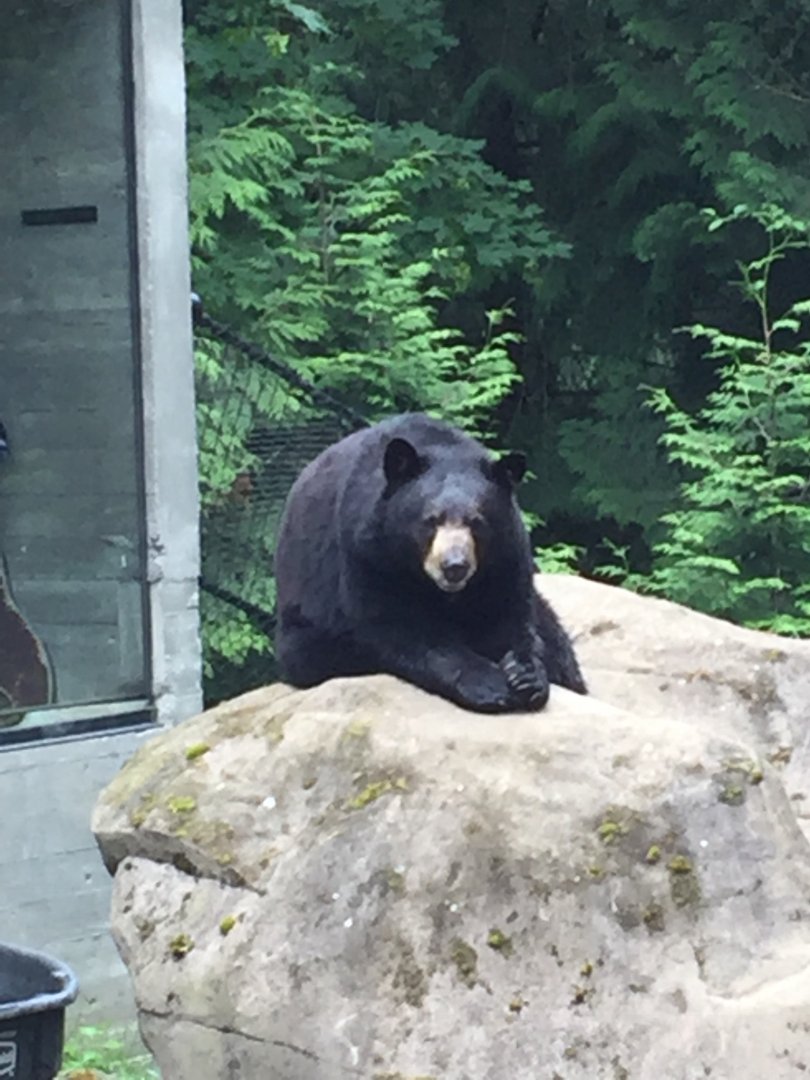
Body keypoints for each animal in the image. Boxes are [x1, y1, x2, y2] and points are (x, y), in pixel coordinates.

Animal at [273, 413, 586, 713]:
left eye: (476, 522)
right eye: (431, 520)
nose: (454, 566)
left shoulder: (505, 555)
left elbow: (510, 615)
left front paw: (526, 675)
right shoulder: (368, 554)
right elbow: (401, 628)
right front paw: (489, 685)